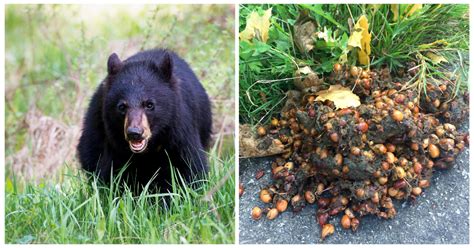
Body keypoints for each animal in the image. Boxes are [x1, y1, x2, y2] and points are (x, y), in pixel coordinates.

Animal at [78, 48, 212, 192]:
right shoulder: (110, 140)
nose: (134, 133)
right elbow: (112, 173)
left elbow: (190, 168)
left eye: (149, 104)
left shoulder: (179, 132)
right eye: (122, 106)